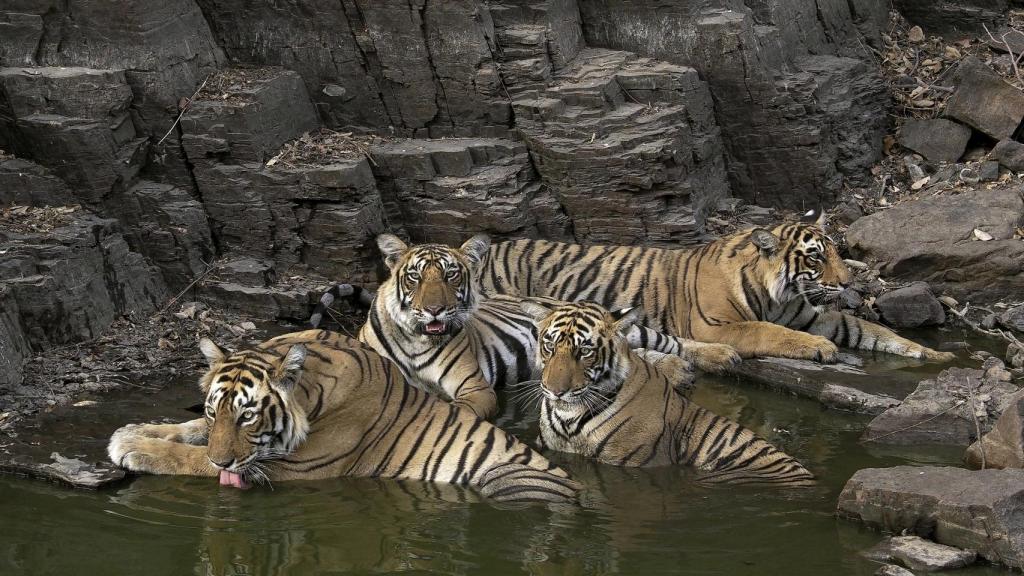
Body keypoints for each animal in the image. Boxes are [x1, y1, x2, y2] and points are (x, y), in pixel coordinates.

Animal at [109, 327, 585, 502]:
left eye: (248, 417)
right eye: (215, 413)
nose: (222, 459)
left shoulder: (292, 466)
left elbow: (191, 459)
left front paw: (130, 446)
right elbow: (189, 432)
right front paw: (137, 428)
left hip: (510, 478)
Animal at [303, 231, 737, 416]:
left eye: (451, 276)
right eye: (416, 277)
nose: (435, 310)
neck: (415, 339)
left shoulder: (473, 387)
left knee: (667, 340)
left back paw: (721, 356)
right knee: (641, 353)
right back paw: (679, 372)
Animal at [475, 211, 954, 362]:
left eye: (837, 252)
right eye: (816, 257)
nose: (848, 281)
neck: (779, 294)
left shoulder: (812, 315)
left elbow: (871, 330)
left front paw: (933, 355)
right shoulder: (715, 324)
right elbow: (769, 332)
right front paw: (819, 349)